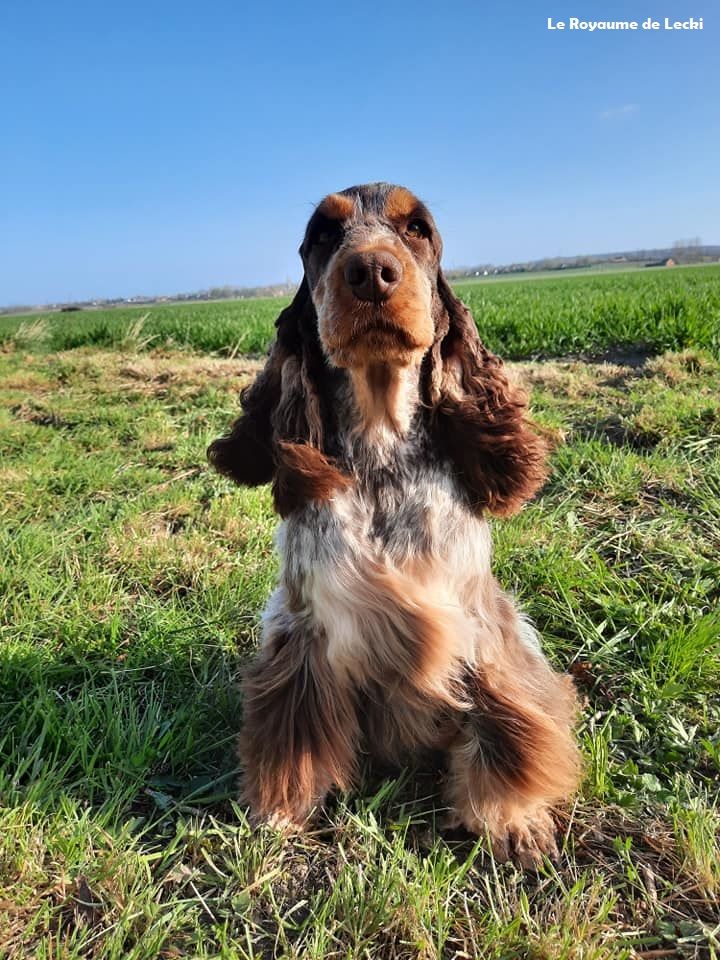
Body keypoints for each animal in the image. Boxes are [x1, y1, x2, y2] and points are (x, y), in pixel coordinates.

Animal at [207, 184, 580, 868]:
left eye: (417, 229)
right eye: (323, 234)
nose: (371, 271)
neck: (381, 454)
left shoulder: (483, 632)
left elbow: (506, 730)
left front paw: (511, 818)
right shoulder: (303, 629)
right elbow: (292, 736)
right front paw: (280, 813)